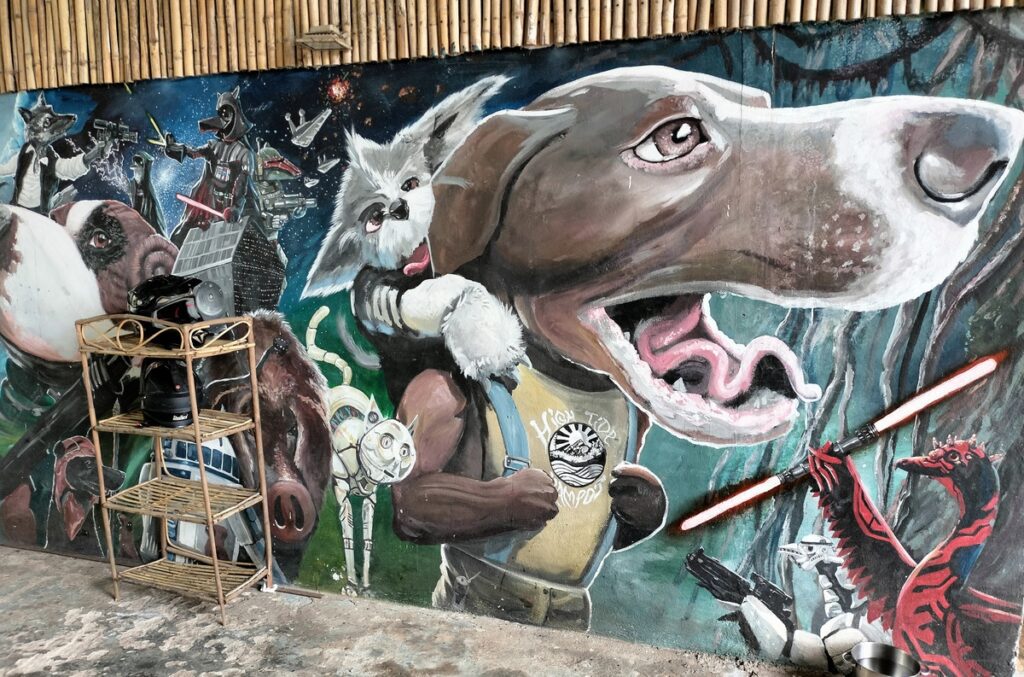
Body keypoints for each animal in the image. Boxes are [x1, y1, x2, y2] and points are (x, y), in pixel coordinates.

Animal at [387, 67, 1024, 626]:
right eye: (674, 137)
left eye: (763, 105)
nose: (988, 142)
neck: (569, 382)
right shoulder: (440, 398)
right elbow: (416, 494)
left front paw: (635, 495)